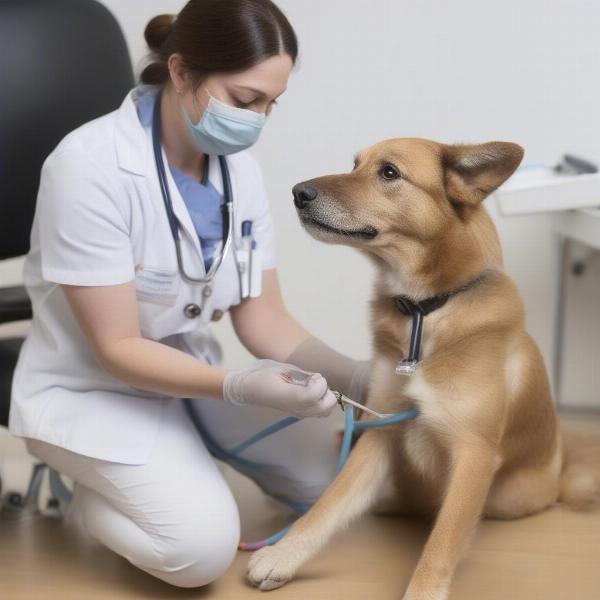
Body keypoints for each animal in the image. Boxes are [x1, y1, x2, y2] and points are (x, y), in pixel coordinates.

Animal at [245, 138, 600, 596]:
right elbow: (329, 503)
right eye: (354, 164)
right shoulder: (379, 432)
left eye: (389, 173)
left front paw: (422, 591)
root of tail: (561, 458)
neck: (424, 311)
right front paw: (284, 554)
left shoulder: (473, 455)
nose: (298, 192)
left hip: (510, 496)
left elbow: (442, 541)